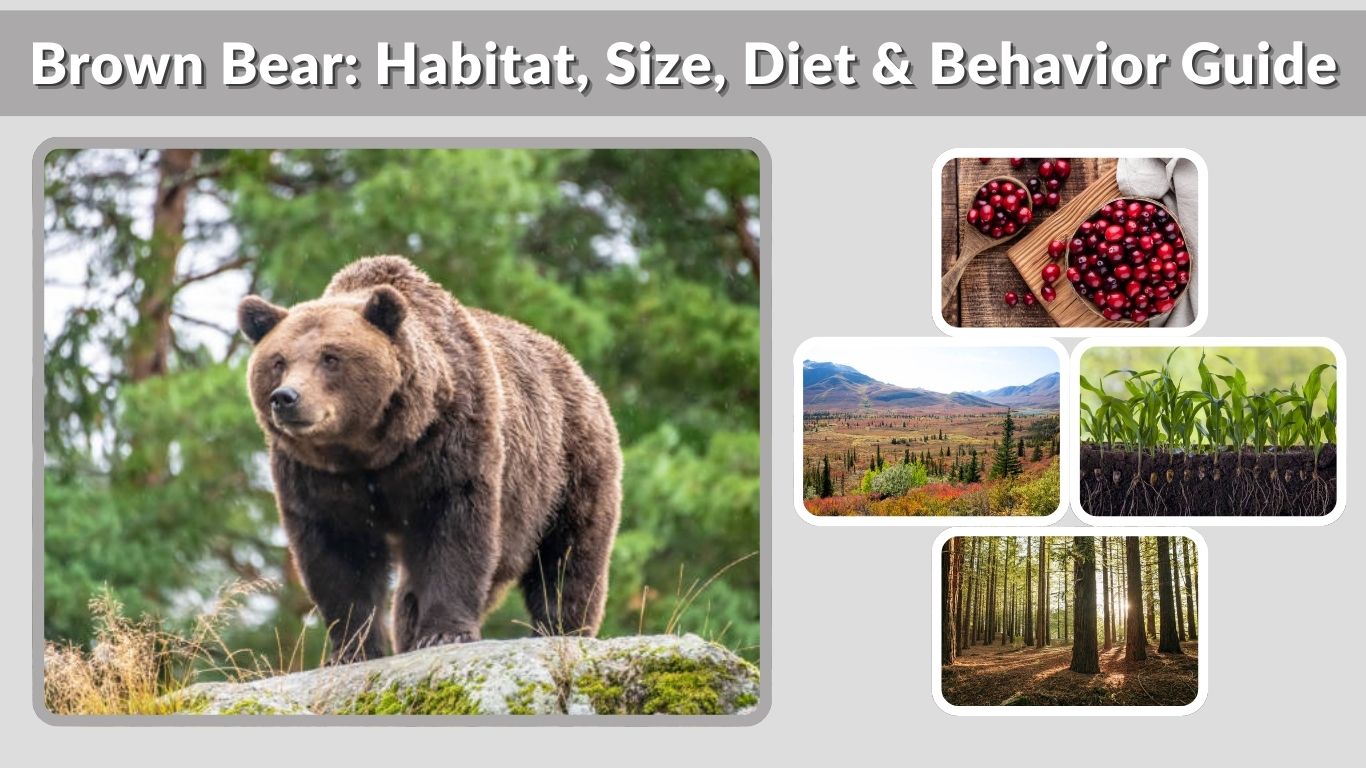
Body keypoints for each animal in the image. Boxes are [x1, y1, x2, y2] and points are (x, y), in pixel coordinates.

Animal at [236, 255, 622, 663]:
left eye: (330, 357)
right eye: (278, 361)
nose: (286, 397)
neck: (372, 450)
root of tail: (574, 367)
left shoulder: (452, 443)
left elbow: (455, 531)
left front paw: (443, 633)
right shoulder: (316, 478)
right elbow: (338, 555)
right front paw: (352, 650)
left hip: (567, 467)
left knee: (568, 556)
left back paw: (562, 628)